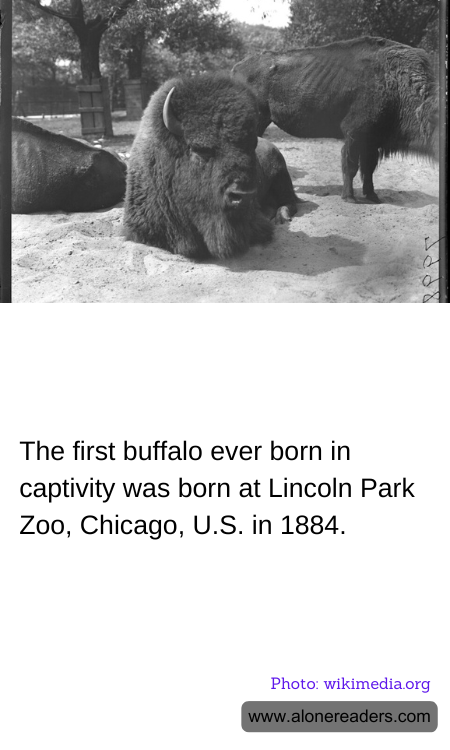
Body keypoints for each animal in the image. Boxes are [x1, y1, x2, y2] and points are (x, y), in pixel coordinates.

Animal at [123, 74, 300, 259]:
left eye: (252, 145)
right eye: (200, 149)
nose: (243, 196)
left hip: (282, 179)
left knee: (292, 201)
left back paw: (281, 216)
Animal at [233, 37, 438, 203]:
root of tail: (237, 68)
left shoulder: (372, 142)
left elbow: (368, 169)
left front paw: (372, 196)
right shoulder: (355, 134)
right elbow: (351, 166)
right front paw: (349, 198)